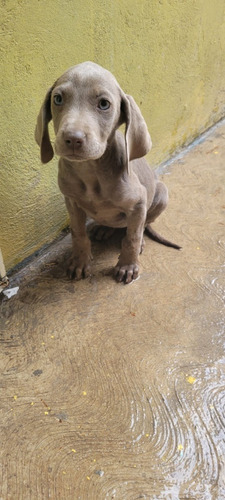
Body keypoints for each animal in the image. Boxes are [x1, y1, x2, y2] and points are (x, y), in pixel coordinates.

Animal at [34, 60, 180, 284]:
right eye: (57, 99)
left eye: (104, 104)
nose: (73, 139)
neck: (90, 172)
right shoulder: (71, 202)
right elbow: (78, 234)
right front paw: (80, 262)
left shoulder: (139, 202)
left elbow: (132, 237)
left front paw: (127, 266)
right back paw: (103, 228)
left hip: (162, 193)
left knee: (142, 224)